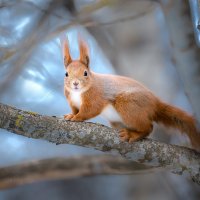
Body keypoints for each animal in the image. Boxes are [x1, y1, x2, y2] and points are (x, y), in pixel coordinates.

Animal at [60, 35, 200, 149]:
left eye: (85, 73)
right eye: (66, 74)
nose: (75, 83)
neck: (78, 93)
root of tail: (155, 103)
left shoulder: (96, 96)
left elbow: (89, 110)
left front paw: (77, 117)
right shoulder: (72, 101)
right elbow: (75, 109)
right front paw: (71, 114)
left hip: (128, 105)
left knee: (148, 127)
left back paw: (132, 134)